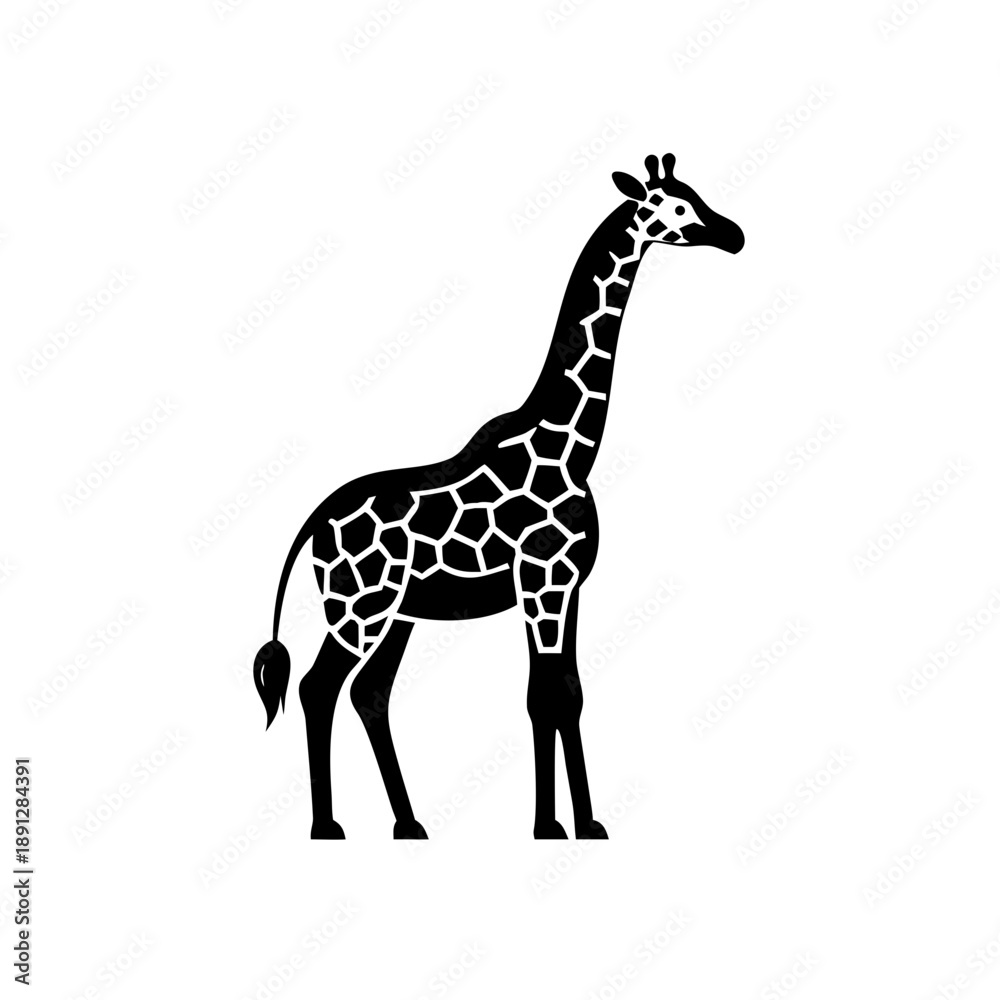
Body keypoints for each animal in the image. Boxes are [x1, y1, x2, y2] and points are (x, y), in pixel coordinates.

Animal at [253, 153, 744, 840]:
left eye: (696, 195)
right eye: (675, 207)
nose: (734, 235)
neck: (570, 446)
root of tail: (313, 523)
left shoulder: (566, 587)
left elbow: (566, 693)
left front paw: (582, 823)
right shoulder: (541, 583)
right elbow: (545, 697)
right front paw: (551, 826)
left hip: (398, 612)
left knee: (368, 692)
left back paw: (410, 823)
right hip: (359, 605)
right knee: (318, 686)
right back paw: (327, 827)